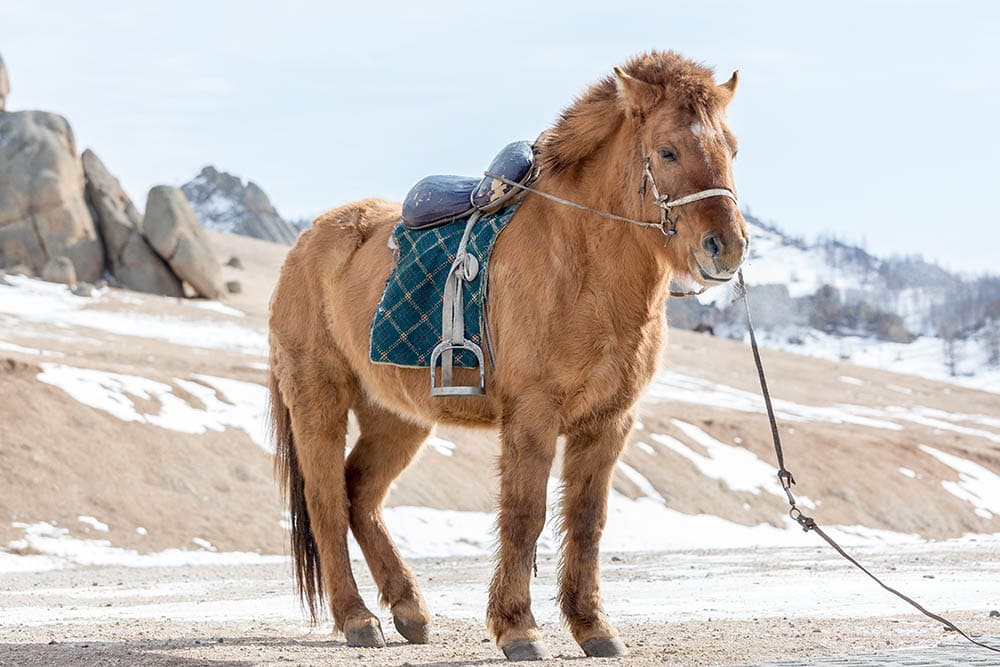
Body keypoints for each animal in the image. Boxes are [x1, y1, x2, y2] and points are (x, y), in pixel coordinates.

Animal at [268, 50, 748, 661]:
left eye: (732, 149)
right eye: (667, 150)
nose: (726, 247)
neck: (580, 265)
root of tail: (308, 243)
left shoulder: (608, 422)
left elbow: (586, 520)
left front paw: (593, 627)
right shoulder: (533, 415)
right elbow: (525, 514)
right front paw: (518, 628)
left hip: (398, 416)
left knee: (361, 495)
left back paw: (409, 609)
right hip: (318, 399)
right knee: (328, 500)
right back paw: (357, 619)